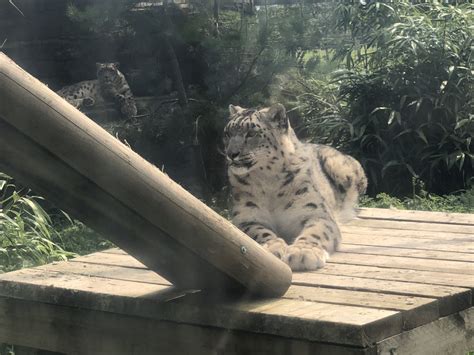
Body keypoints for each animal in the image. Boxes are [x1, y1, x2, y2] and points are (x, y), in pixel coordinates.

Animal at [224, 104, 368, 272]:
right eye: (227, 133)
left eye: (252, 133)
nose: (231, 153)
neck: (268, 181)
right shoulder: (246, 218)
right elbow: (258, 232)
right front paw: (273, 247)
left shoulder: (317, 213)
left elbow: (316, 232)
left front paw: (303, 253)